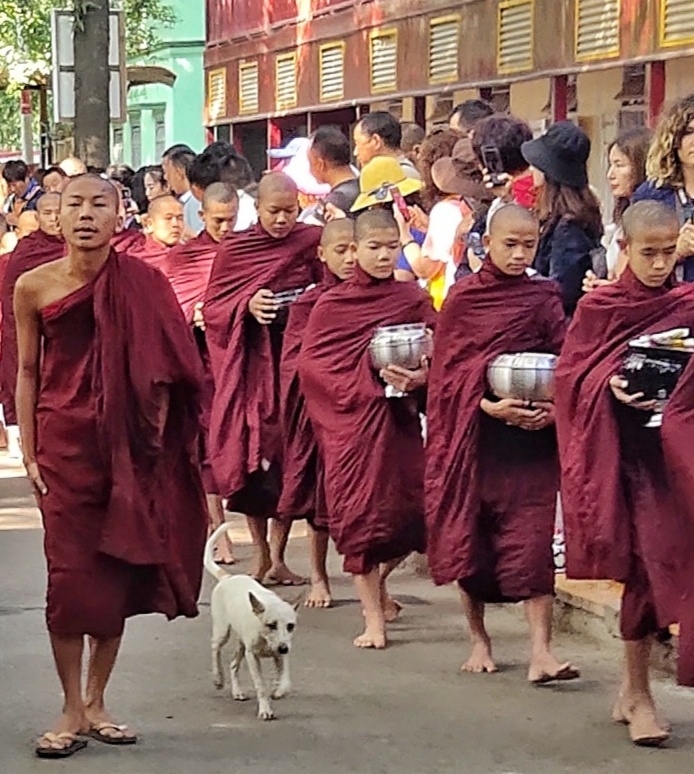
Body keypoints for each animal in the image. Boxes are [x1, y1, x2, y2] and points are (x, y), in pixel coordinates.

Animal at [203, 520, 298, 720]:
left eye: (291, 626)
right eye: (271, 625)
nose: (283, 648)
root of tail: (228, 577)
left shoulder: (281, 653)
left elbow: (286, 681)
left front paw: (279, 691)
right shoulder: (252, 656)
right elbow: (260, 685)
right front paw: (265, 709)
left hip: (241, 643)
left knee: (233, 664)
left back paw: (237, 691)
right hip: (223, 630)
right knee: (215, 648)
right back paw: (217, 678)